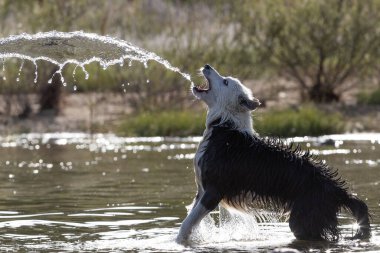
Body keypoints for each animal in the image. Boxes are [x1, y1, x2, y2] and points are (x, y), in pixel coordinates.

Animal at [176, 64, 372, 244]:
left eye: (225, 81)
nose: (207, 66)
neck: (224, 125)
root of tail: (337, 189)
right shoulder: (202, 189)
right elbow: (191, 217)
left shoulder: (213, 191)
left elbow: (187, 223)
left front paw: (178, 242)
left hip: (304, 219)